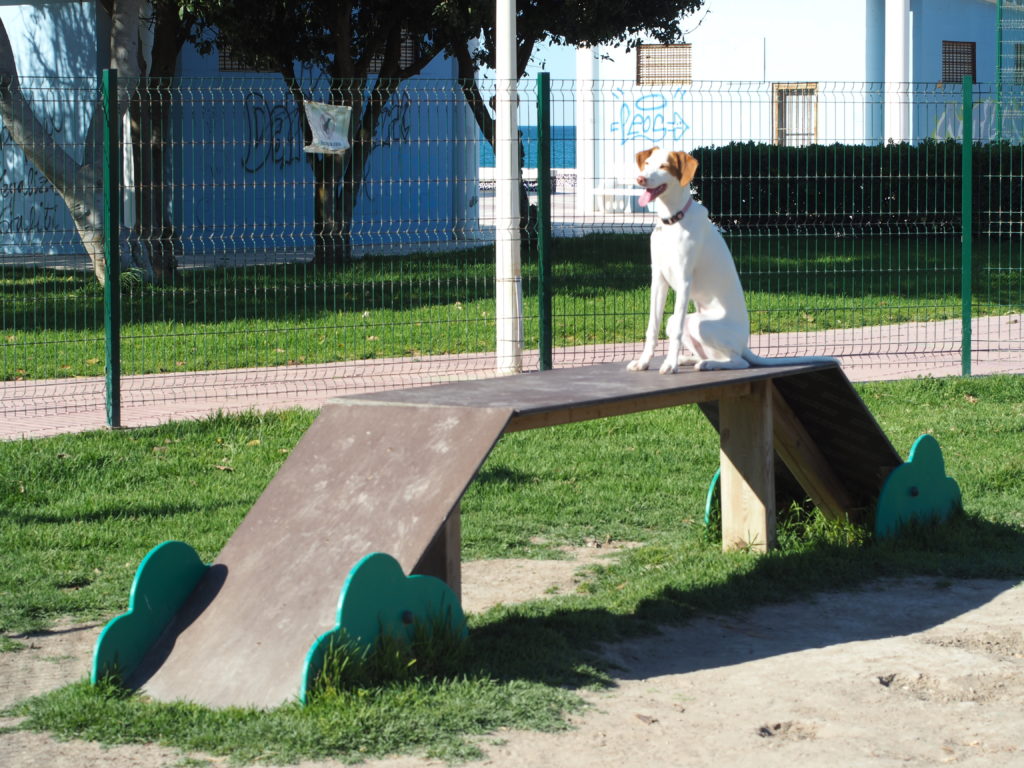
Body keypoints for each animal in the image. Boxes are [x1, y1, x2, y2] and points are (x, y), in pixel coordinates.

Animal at [626, 148, 835, 376]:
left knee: (739, 361)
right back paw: (690, 359)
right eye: (647, 164)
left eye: (664, 166)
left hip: (702, 326)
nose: (640, 178)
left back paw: (706, 364)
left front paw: (670, 365)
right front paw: (644, 362)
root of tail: (744, 345)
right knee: (708, 351)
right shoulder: (658, 280)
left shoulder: (683, 282)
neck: (673, 221)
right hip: (681, 322)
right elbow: (652, 328)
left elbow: (677, 333)